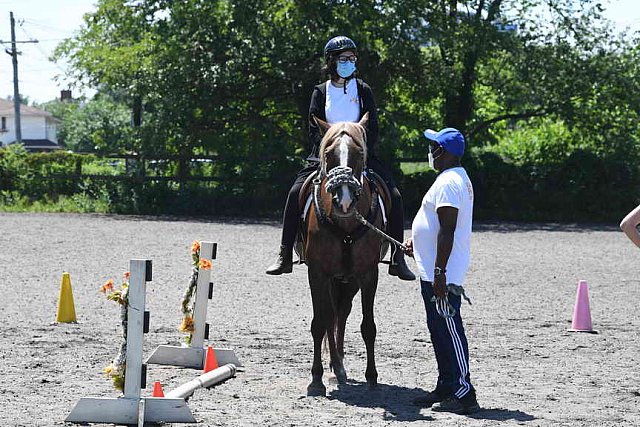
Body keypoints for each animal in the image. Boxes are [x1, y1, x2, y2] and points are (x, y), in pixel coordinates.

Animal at [304, 113, 384, 398]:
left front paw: (372, 377)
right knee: (331, 316)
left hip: (348, 281)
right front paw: (315, 379)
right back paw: (333, 367)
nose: (345, 201)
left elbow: (368, 327)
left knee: (341, 313)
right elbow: (319, 323)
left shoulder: (369, 274)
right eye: (328, 153)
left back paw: (338, 366)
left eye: (359, 153)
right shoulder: (317, 274)